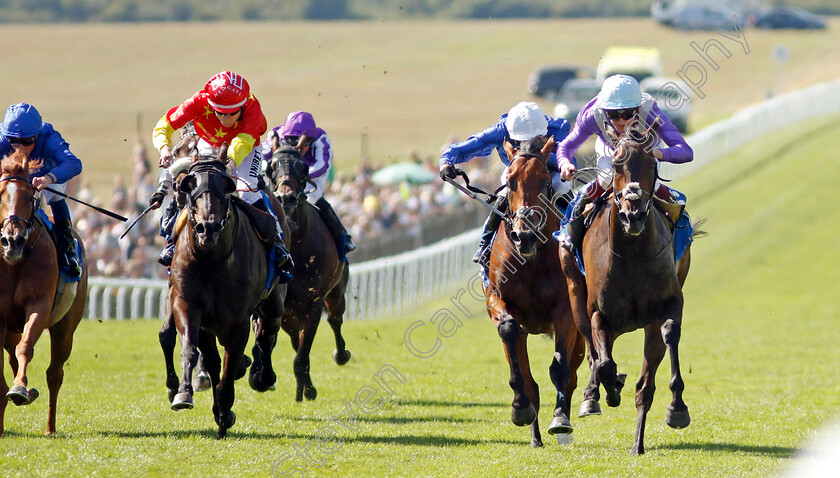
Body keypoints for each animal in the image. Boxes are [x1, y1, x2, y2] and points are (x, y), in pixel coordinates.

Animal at [0, 150, 88, 436]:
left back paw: (49, 425)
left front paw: (20, 389)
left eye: (30, 196)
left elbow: (26, 348)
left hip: (65, 327)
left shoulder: (39, 305)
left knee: (54, 373)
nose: (12, 240)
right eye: (0, 195)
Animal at [164, 147, 288, 440]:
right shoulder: (188, 306)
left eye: (226, 185)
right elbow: (193, 350)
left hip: (274, 302)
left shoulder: (237, 320)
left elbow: (229, 366)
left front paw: (223, 412)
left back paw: (262, 377)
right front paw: (184, 394)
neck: (212, 259)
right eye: (189, 185)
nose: (207, 227)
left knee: (266, 334)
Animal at [266, 143, 352, 404]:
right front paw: (304, 389)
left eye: (302, 167)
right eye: (272, 165)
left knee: (335, 320)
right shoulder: (281, 307)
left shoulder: (314, 302)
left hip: (336, 292)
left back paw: (340, 355)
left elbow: (301, 355)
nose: (286, 197)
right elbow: (297, 348)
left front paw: (304, 391)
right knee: (296, 338)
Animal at [486, 135, 584, 448]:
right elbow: (509, 332)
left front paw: (561, 421)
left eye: (544, 182)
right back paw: (535, 436)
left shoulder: (566, 308)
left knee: (572, 376)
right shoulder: (497, 300)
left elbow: (560, 369)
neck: (531, 260)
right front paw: (520, 409)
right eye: (511, 181)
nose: (524, 235)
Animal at [556, 119, 696, 456]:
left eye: (652, 163)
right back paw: (593, 397)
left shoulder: (670, 303)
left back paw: (638, 444)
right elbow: (604, 361)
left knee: (645, 382)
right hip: (575, 293)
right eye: (617, 164)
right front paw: (608, 390)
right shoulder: (599, 314)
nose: (633, 214)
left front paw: (677, 409)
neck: (633, 254)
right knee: (593, 352)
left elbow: (669, 336)